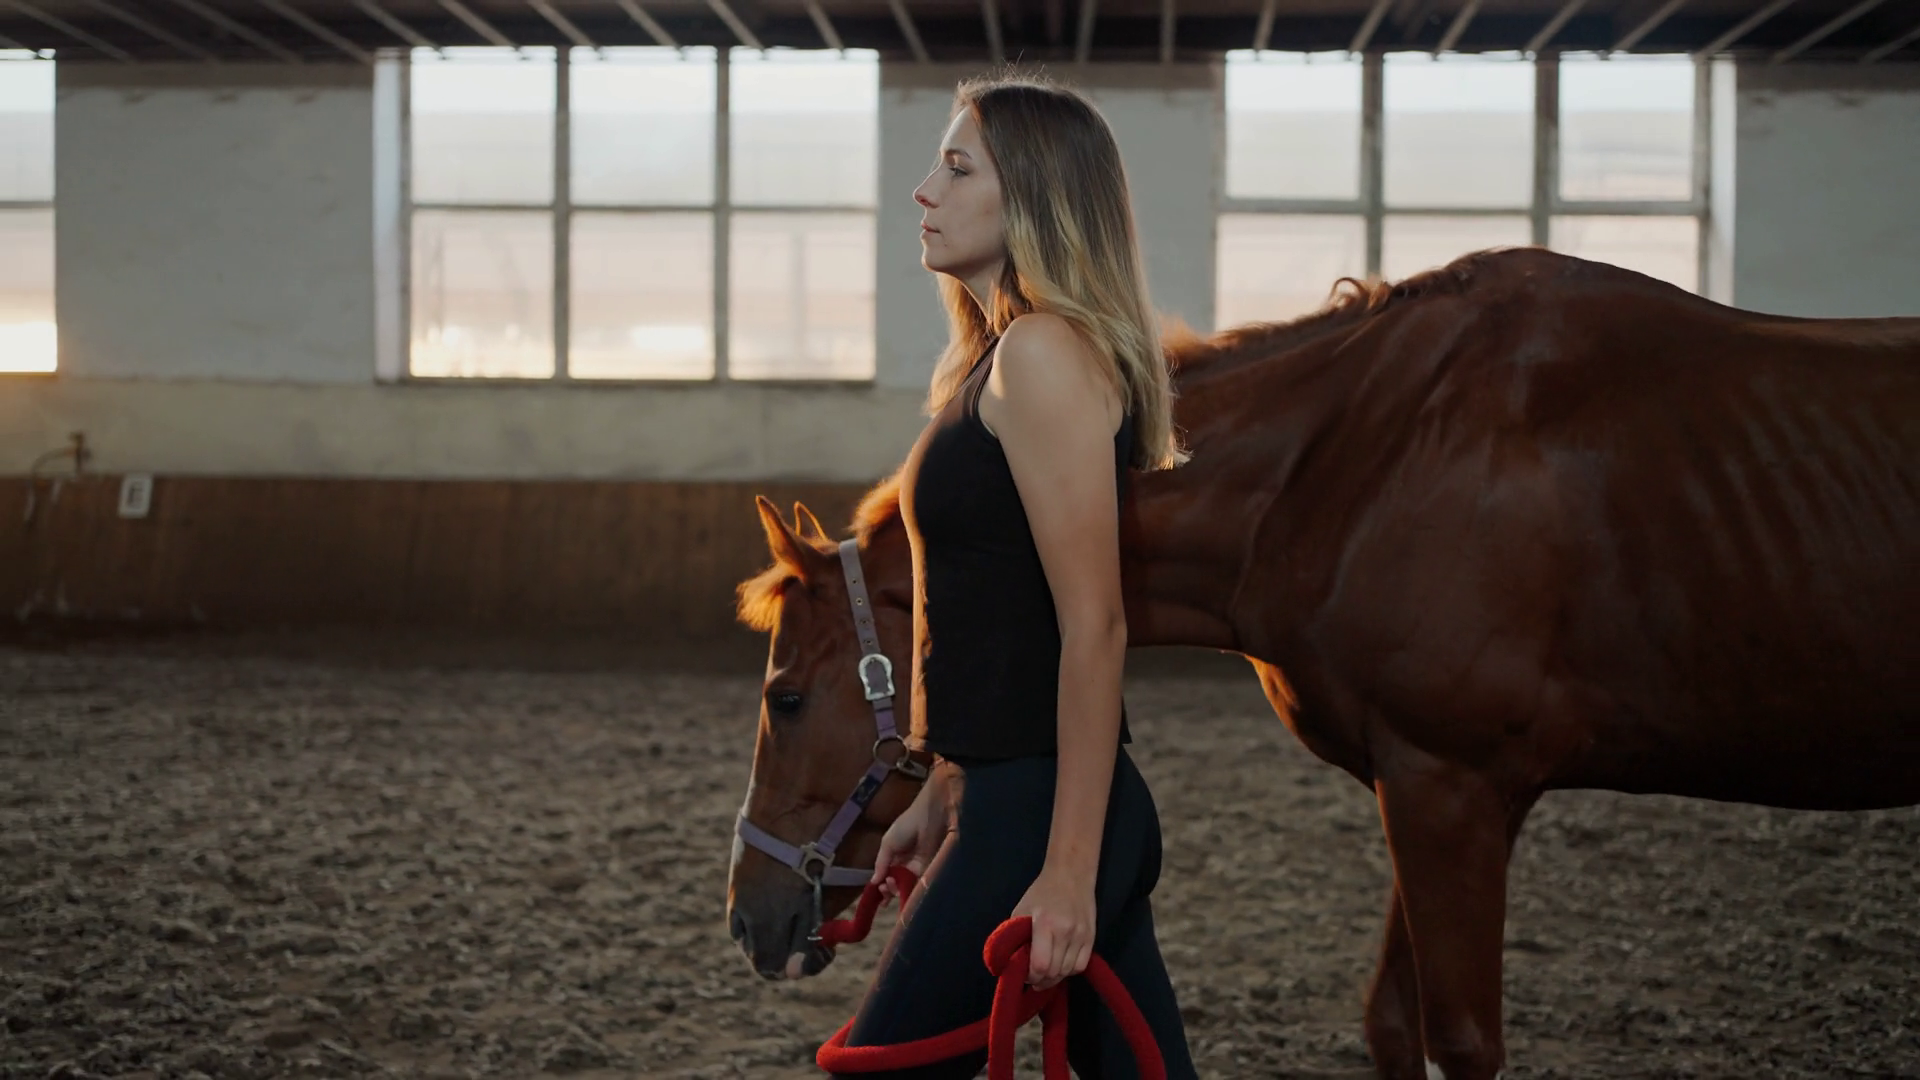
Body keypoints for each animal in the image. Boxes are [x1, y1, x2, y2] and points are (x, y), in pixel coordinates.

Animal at [724, 247, 1920, 1080]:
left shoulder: (1451, 787)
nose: (749, 919)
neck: (1363, 460)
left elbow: (1462, 1040)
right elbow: (1393, 1022)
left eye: (788, 697)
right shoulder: (1439, 790)